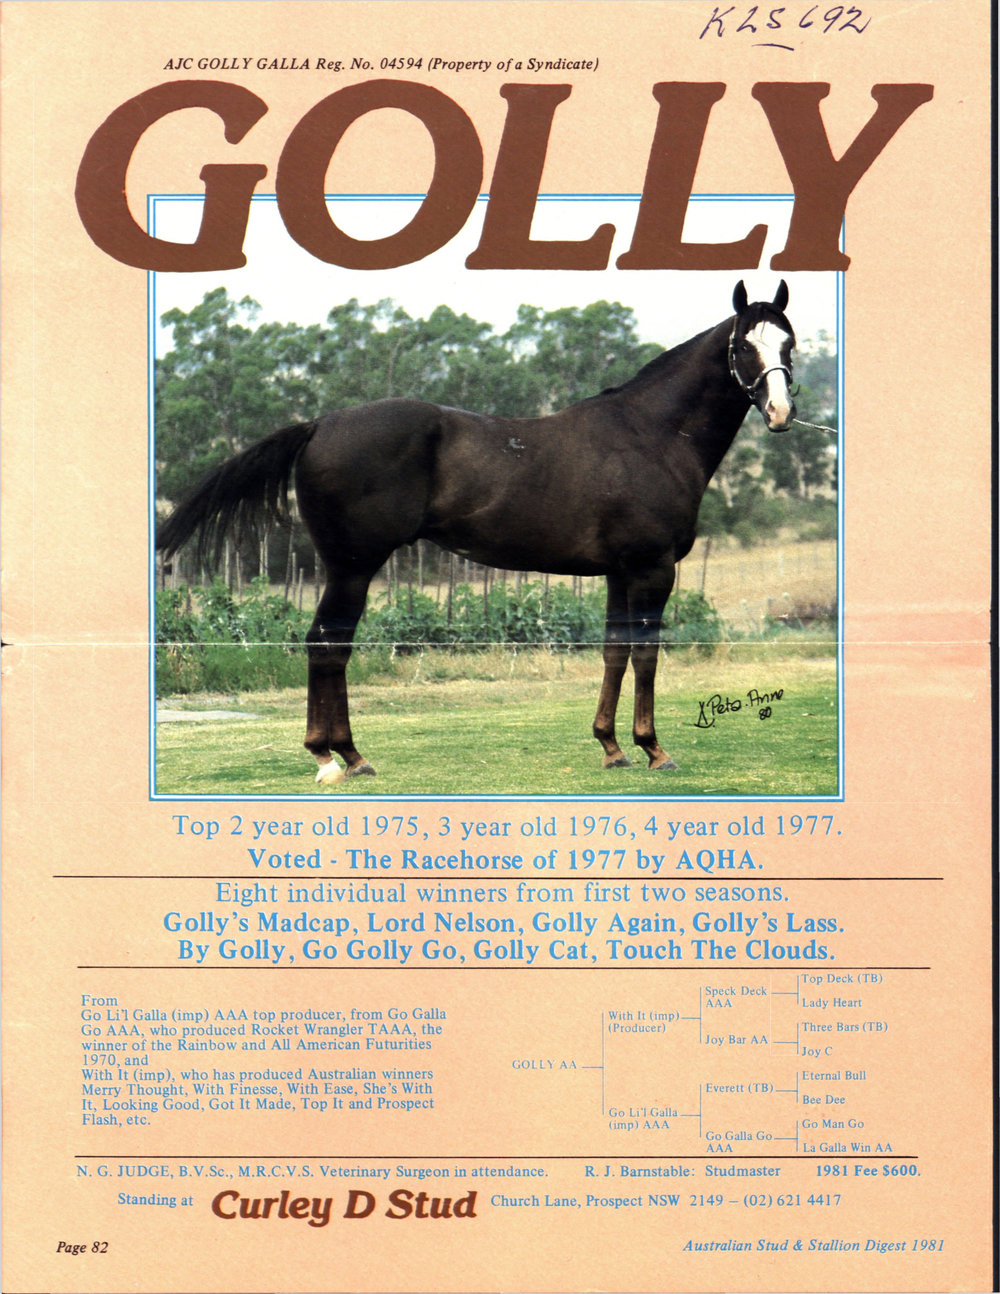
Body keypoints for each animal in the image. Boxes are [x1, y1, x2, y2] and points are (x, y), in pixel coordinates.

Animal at [157, 280, 796, 785]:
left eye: (788, 342)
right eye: (743, 345)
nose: (781, 412)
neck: (650, 435)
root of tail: (319, 425)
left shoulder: (620, 572)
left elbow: (614, 652)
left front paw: (611, 747)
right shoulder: (653, 569)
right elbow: (646, 655)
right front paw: (653, 749)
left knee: (331, 646)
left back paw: (348, 756)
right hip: (352, 566)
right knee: (326, 644)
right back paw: (334, 758)